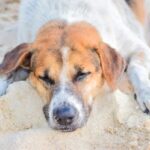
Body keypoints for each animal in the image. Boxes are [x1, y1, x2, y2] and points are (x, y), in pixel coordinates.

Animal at [0, 0, 150, 131]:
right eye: (45, 78)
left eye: (82, 74)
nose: (64, 117)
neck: (66, 13)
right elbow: (8, 71)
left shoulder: (138, 48)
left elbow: (137, 67)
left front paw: (145, 94)